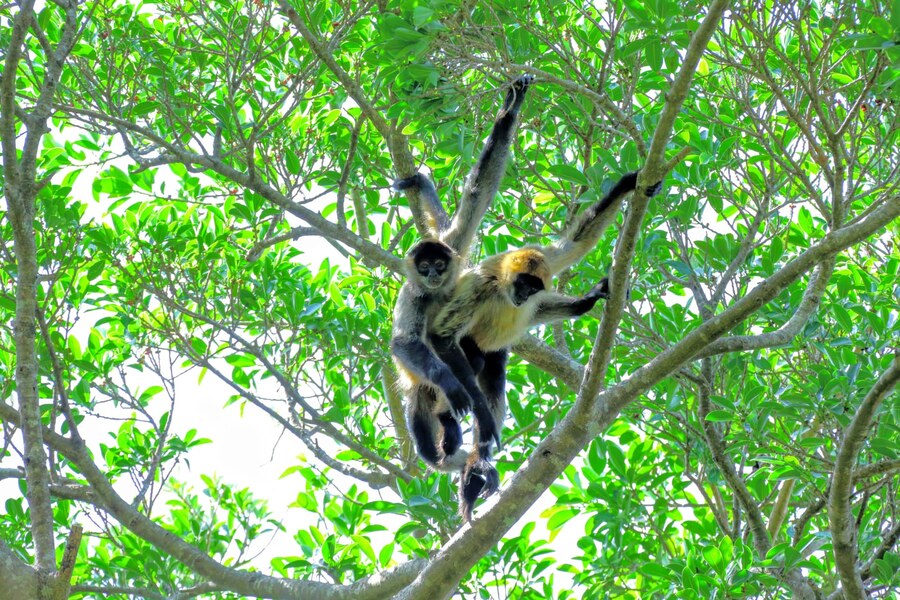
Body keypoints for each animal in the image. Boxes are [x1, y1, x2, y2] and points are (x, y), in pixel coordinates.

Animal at [390, 75, 533, 474]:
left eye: (439, 266)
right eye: (424, 268)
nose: (433, 274)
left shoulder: (452, 246)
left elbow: (478, 194)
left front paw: (510, 108)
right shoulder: (413, 293)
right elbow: (404, 342)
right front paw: (453, 386)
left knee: (481, 356)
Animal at [428, 170, 664, 519]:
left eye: (532, 287)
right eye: (523, 284)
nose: (524, 296)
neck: (502, 286)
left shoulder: (544, 262)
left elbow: (577, 243)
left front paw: (628, 183)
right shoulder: (480, 284)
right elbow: (440, 336)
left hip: (495, 349)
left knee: (493, 377)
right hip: (471, 344)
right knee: (471, 363)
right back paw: (456, 432)